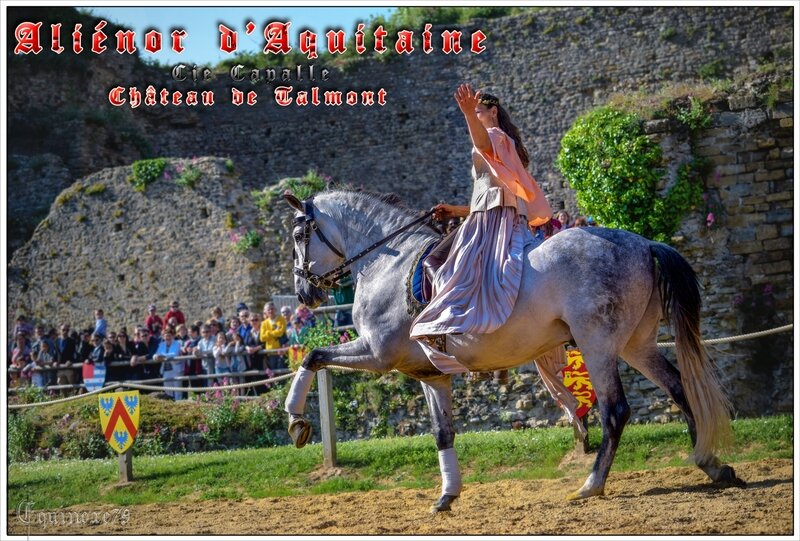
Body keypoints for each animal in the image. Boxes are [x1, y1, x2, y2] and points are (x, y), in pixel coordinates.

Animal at [282, 189, 744, 510]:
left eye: (299, 234)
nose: (304, 292)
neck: (386, 263)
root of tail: (644, 244)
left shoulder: (378, 354)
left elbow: (313, 357)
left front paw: (296, 421)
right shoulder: (430, 374)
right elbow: (442, 432)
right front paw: (448, 495)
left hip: (597, 344)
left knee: (616, 410)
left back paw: (592, 484)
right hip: (635, 345)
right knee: (678, 388)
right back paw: (710, 463)